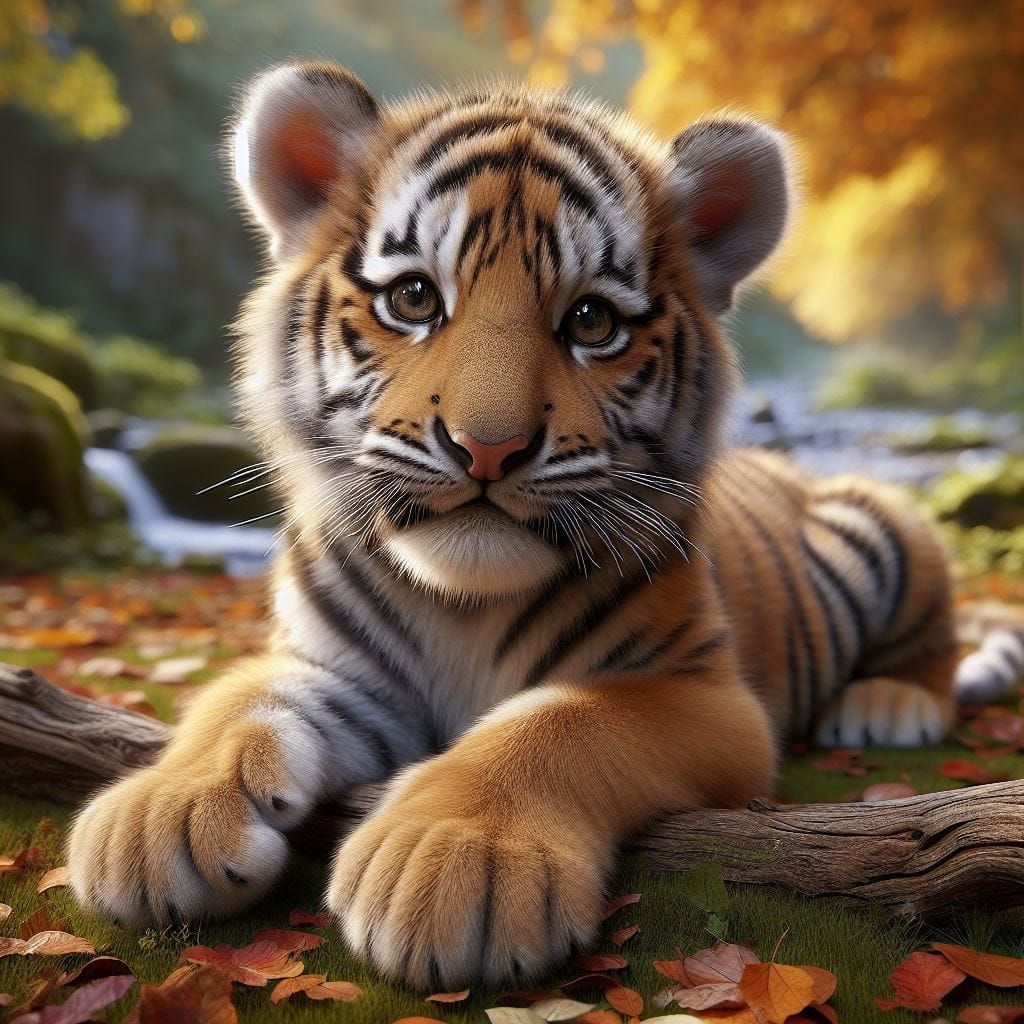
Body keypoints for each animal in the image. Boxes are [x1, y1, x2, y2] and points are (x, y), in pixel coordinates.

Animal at [67, 59, 1001, 991]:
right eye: (414, 298)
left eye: (592, 321)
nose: (488, 447)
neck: (460, 602)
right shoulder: (341, 672)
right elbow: (238, 695)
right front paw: (158, 815)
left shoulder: (701, 695)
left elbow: (557, 722)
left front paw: (455, 860)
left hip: (882, 525)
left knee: (932, 637)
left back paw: (886, 704)